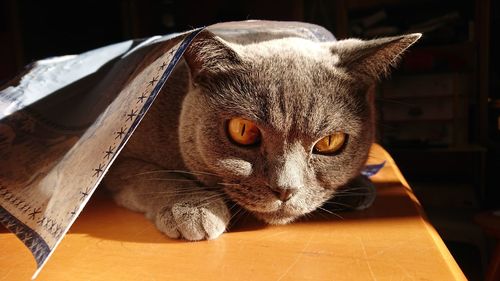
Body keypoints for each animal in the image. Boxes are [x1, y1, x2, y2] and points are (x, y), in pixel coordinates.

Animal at [103, 30, 420, 241]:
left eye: (329, 143)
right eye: (243, 131)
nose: (285, 189)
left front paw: (359, 186)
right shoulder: (119, 160)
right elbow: (154, 177)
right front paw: (193, 208)